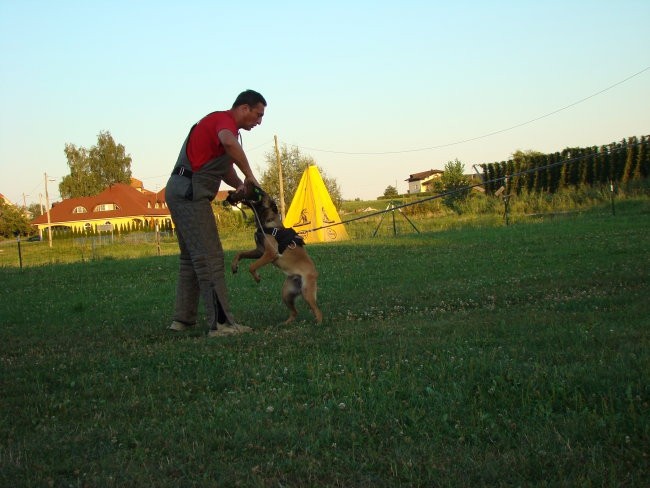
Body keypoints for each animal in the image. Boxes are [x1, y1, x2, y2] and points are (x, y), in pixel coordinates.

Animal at [230, 191, 322, 324]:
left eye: (263, 195)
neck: (267, 223)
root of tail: (315, 273)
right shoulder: (259, 251)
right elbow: (240, 253)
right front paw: (234, 265)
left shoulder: (270, 253)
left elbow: (252, 266)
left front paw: (256, 277)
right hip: (286, 294)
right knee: (295, 312)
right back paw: (286, 323)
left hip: (306, 292)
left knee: (317, 311)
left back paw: (319, 323)